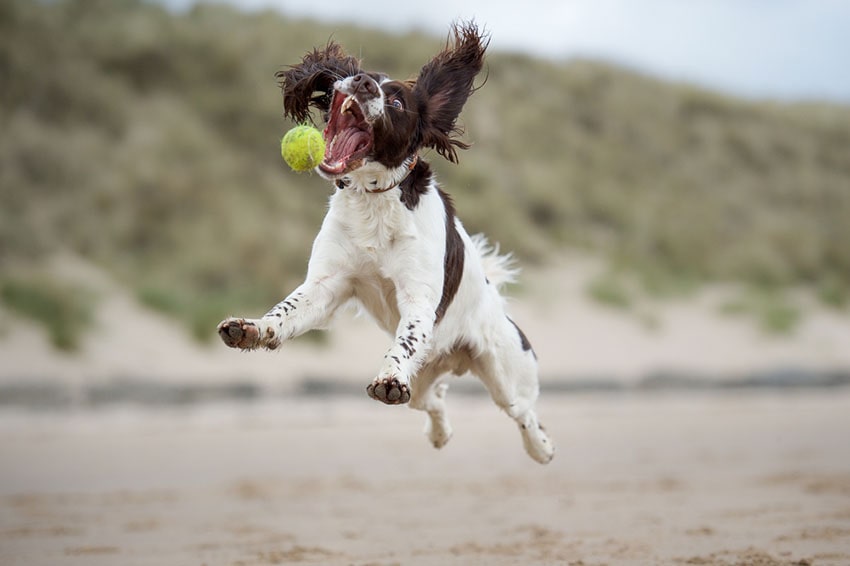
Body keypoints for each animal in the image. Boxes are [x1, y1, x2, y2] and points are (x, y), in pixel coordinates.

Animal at [215, 22, 552, 466]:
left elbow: (403, 344)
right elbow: (286, 311)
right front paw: (252, 328)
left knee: (523, 413)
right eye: (362, 76)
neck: (373, 199)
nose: (361, 83)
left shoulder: (418, 299)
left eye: (395, 100)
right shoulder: (326, 286)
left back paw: (541, 448)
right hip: (426, 379)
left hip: (506, 373)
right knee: (434, 401)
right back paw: (439, 434)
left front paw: (389, 377)